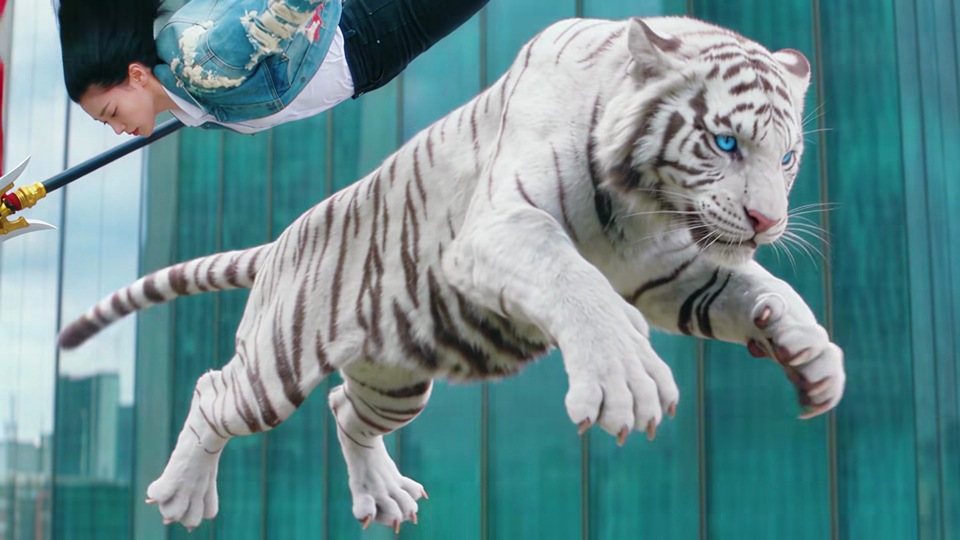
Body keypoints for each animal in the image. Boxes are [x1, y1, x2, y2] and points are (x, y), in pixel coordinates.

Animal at [59, 15, 846, 532]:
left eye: (785, 157)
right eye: (725, 141)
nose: (768, 223)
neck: (646, 202)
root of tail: (280, 241)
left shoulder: (669, 270)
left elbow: (762, 289)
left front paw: (811, 356)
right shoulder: (504, 226)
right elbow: (574, 281)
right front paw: (628, 381)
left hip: (394, 381)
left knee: (344, 409)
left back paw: (383, 494)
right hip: (274, 369)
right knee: (214, 392)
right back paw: (183, 495)